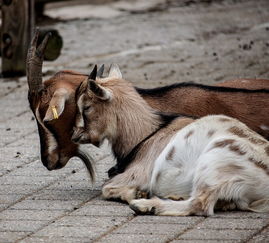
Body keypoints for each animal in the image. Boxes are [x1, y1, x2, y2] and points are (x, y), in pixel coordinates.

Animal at [72, 67, 268, 216]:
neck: (147, 133)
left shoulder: (138, 173)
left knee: (200, 204)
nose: (74, 135)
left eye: (86, 107)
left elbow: (106, 188)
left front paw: (137, 194)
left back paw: (146, 205)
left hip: (215, 164)